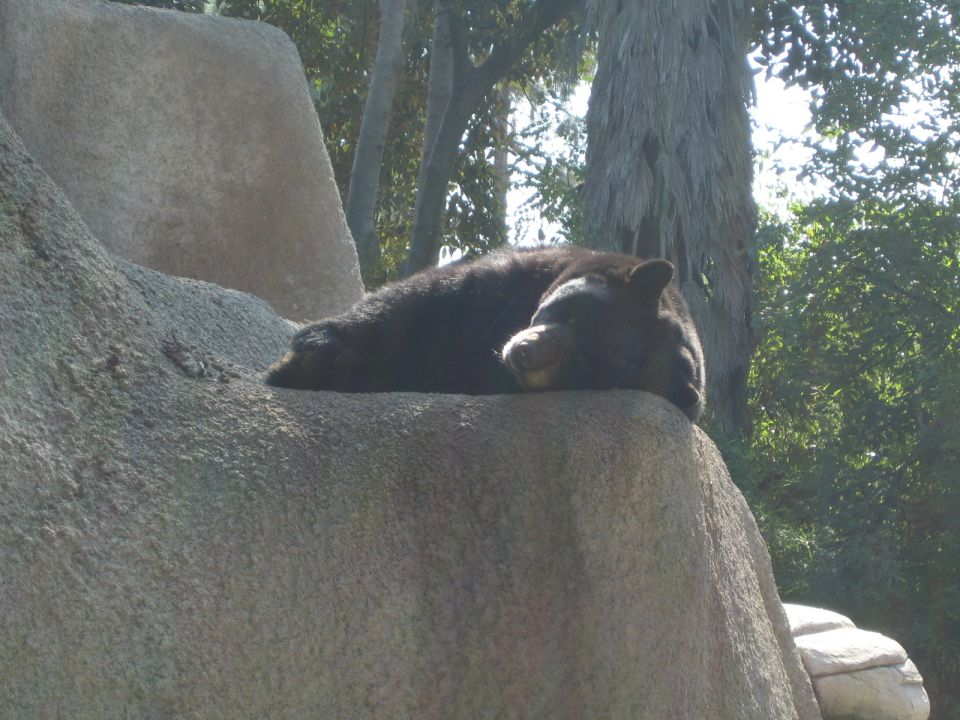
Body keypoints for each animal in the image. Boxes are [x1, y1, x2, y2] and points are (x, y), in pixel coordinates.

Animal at [265, 246, 705, 421]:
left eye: (585, 370)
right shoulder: (514, 279)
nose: (526, 352)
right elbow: (425, 300)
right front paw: (311, 352)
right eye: (576, 317)